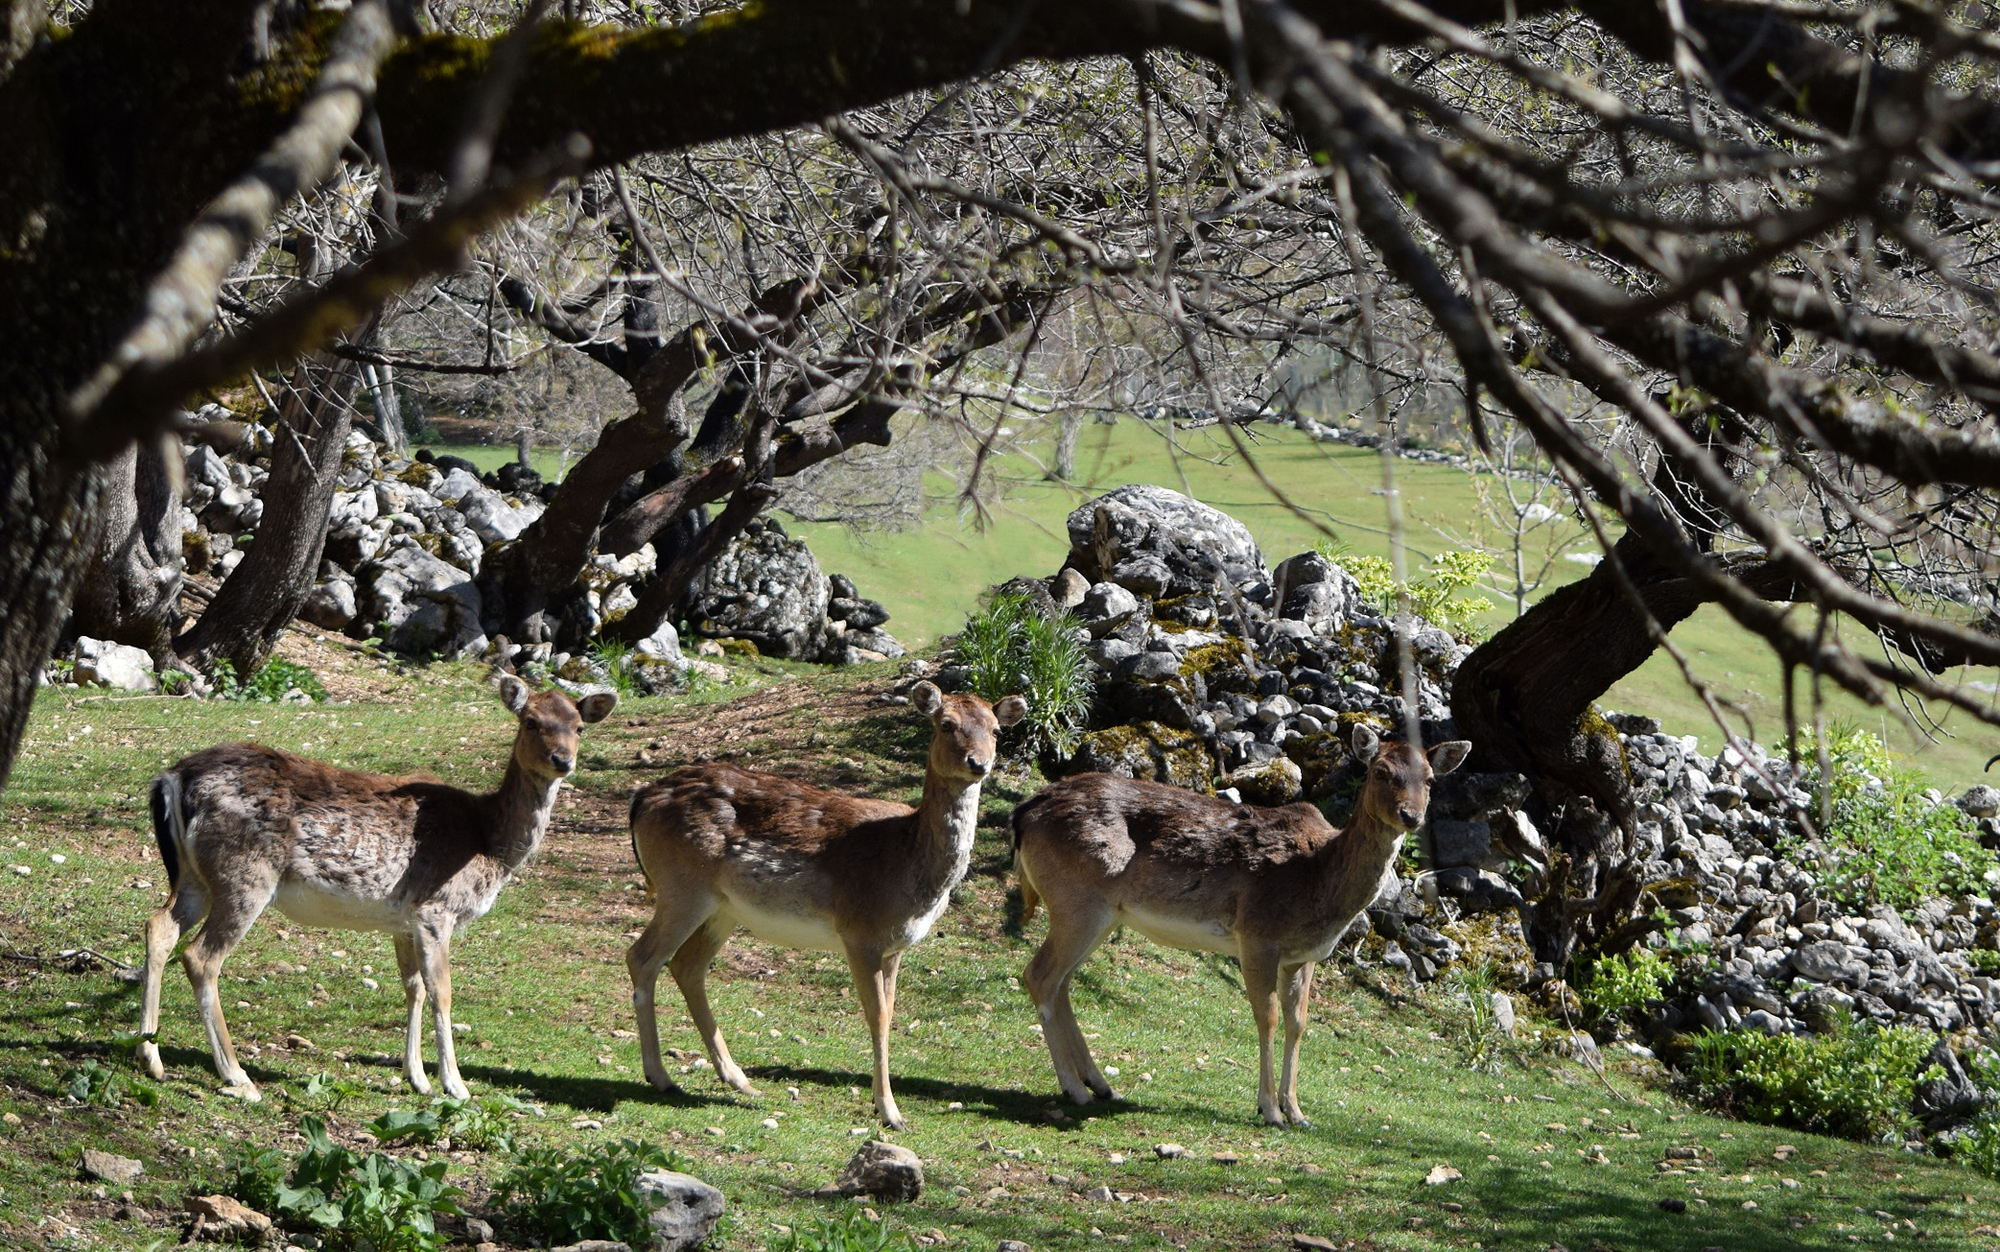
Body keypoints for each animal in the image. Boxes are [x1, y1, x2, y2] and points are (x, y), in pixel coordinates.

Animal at [137, 676, 612, 1096]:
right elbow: (442, 992)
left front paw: (418, 1078)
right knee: (201, 957)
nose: (562, 760)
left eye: (579, 726)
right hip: (245, 872)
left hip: (194, 875)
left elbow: (413, 988)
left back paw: (151, 1057)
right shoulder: (436, 907)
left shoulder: (403, 920)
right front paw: (455, 1086)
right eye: (530, 721)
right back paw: (237, 1076)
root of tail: (172, 777)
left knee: (159, 925)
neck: (488, 842)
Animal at [628, 676, 1032, 1128]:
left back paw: (738, 1079)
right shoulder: (860, 932)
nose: (978, 763)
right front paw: (890, 1112)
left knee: (687, 965)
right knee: (642, 956)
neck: (907, 859)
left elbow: (891, 1013)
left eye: (996, 731)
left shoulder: (897, 946)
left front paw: (886, 1105)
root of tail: (641, 799)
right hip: (682, 887)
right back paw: (661, 1077)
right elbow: (878, 1017)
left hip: (722, 908)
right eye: (946, 724)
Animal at [1016, 720, 1472, 1120]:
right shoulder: (1257, 935)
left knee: (1062, 982)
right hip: (1077, 900)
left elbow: (1299, 1022)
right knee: (1039, 975)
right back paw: (1075, 1089)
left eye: (1430, 779)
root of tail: (1022, 817)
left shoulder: (1302, 956)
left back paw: (1100, 1084)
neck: (1317, 880)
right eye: (1381, 771)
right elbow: (1267, 1017)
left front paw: (1298, 1112)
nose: (1411, 815)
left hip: (1102, 914)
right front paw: (1269, 1109)